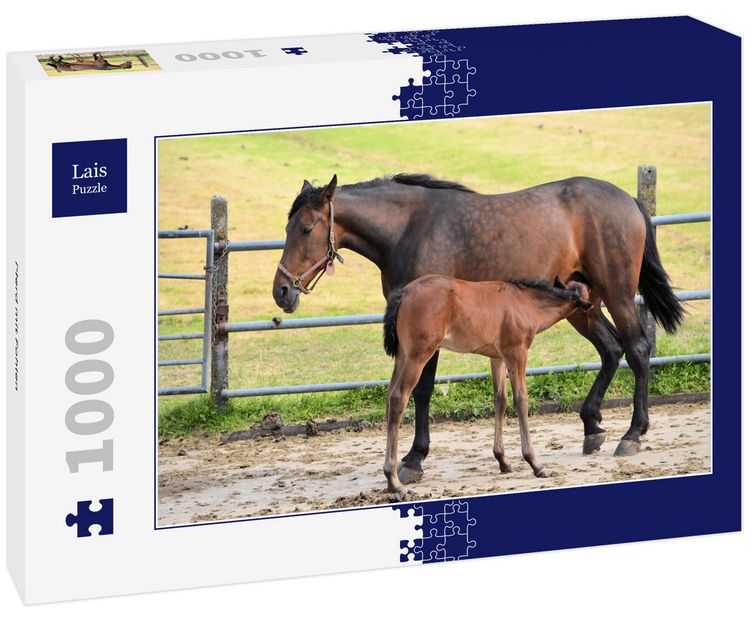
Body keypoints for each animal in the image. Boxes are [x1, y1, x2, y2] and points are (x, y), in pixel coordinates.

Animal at [381, 275, 593, 494]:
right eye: (589, 295)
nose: (594, 319)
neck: (526, 302)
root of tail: (405, 292)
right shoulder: (517, 353)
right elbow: (521, 400)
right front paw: (535, 463)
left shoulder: (498, 357)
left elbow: (500, 399)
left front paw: (503, 460)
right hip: (418, 356)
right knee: (398, 399)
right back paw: (394, 481)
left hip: (402, 357)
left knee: (388, 397)